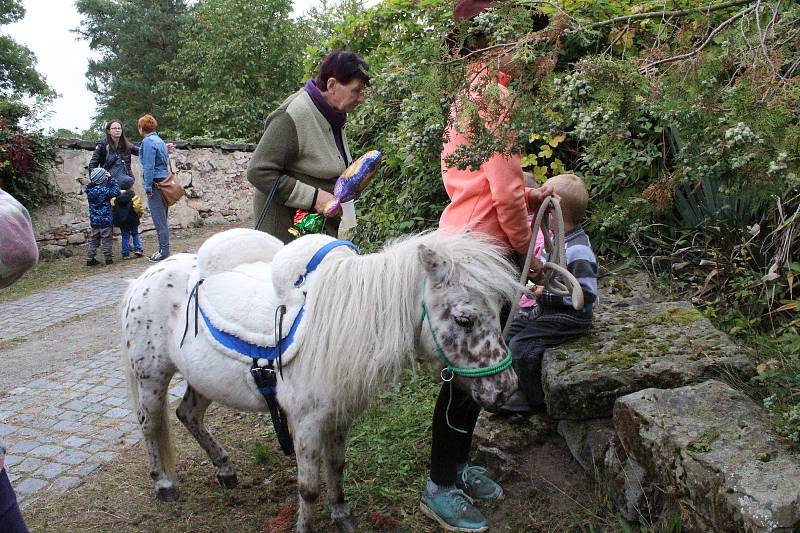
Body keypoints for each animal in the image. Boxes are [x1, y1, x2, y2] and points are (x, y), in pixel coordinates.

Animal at [119, 227, 520, 528]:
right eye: (464, 319)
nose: (507, 390)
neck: (336, 328)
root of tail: (144, 279)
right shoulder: (306, 423)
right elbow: (308, 487)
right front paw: (306, 525)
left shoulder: (340, 416)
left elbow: (336, 466)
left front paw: (343, 516)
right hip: (152, 377)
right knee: (150, 424)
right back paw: (164, 485)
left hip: (202, 379)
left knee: (187, 414)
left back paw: (225, 470)